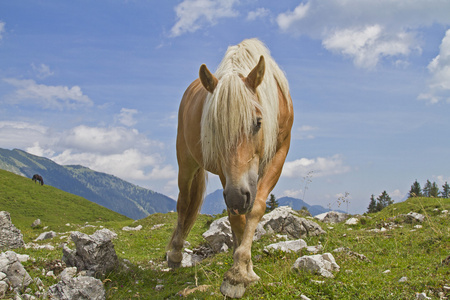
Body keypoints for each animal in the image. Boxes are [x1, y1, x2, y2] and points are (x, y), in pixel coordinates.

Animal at [167, 38, 294, 298]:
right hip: (186, 162)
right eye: (214, 129)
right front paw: (238, 274)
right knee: (184, 203)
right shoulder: (228, 176)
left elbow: (255, 209)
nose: (237, 196)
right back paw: (175, 255)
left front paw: (244, 268)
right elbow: (237, 218)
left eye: (258, 122)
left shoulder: (279, 154)